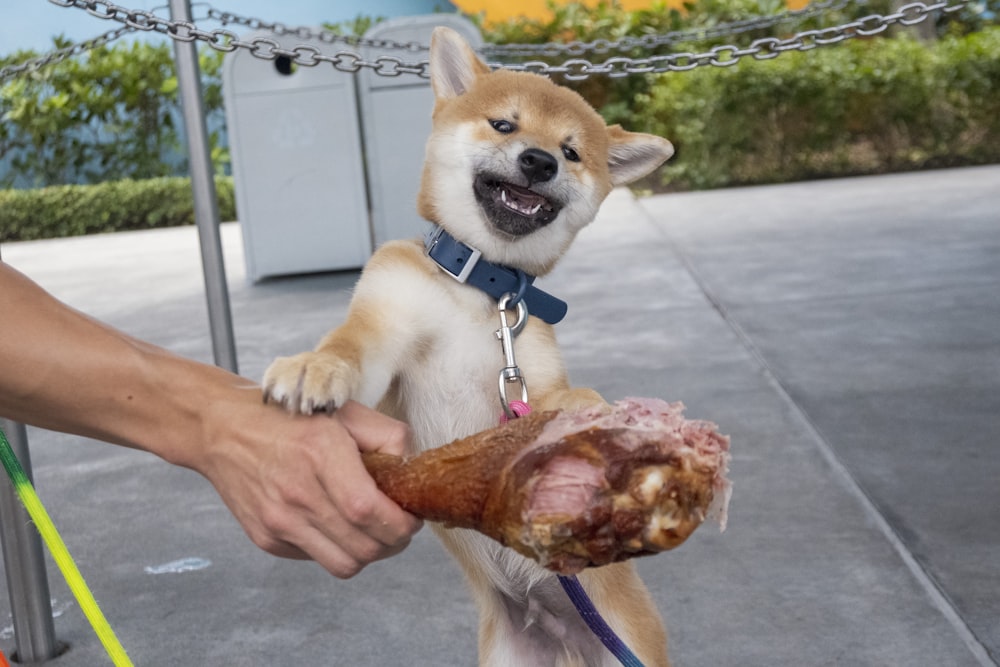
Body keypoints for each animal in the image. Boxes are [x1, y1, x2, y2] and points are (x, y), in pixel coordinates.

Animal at [262, 26, 676, 667]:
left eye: (571, 152)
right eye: (504, 125)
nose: (538, 160)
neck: (481, 290)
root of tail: (564, 635)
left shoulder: (535, 378)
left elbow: (567, 397)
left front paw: (596, 417)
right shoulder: (386, 325)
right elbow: (350, 350)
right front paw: (315, 367)